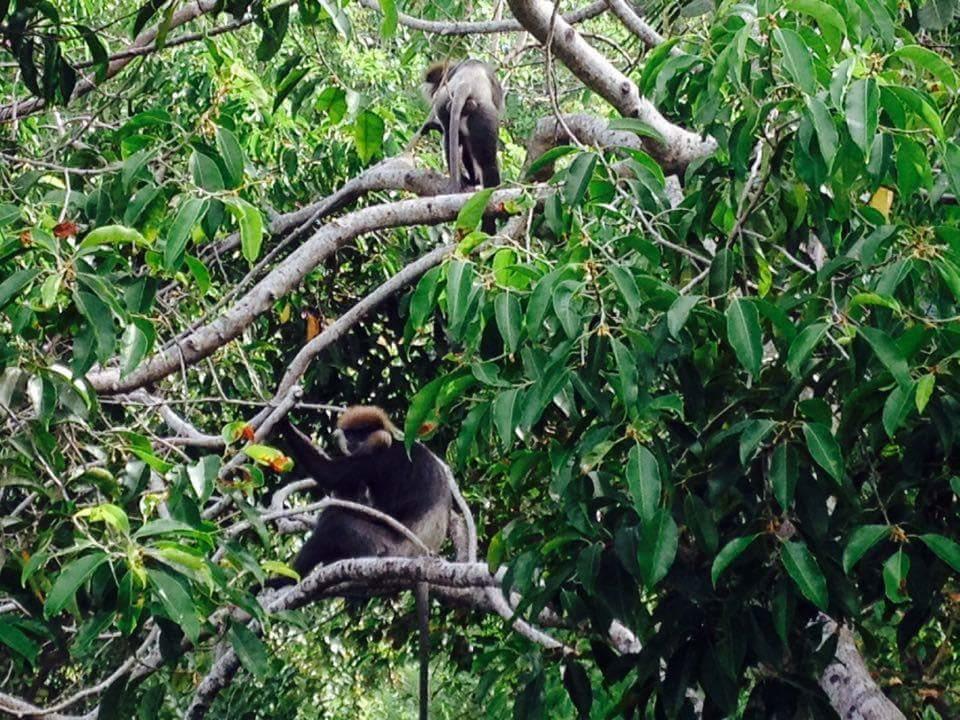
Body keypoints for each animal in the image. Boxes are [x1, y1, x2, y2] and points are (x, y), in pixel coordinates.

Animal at [268, 404, 452, 720]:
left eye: (357, 434)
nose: (347, 441)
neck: (390, 440)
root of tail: (421, 555)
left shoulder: (377, 460)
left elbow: (334, 477)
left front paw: (282, 418)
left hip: (382, 549)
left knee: (334, 523)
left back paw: (285, 578)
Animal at [424, 59, 506, 233]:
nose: (433, 93)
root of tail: (465, 84)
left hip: (445, 106)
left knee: (451, 140)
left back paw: (463, 180)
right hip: (482, 115)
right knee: (488, 164)